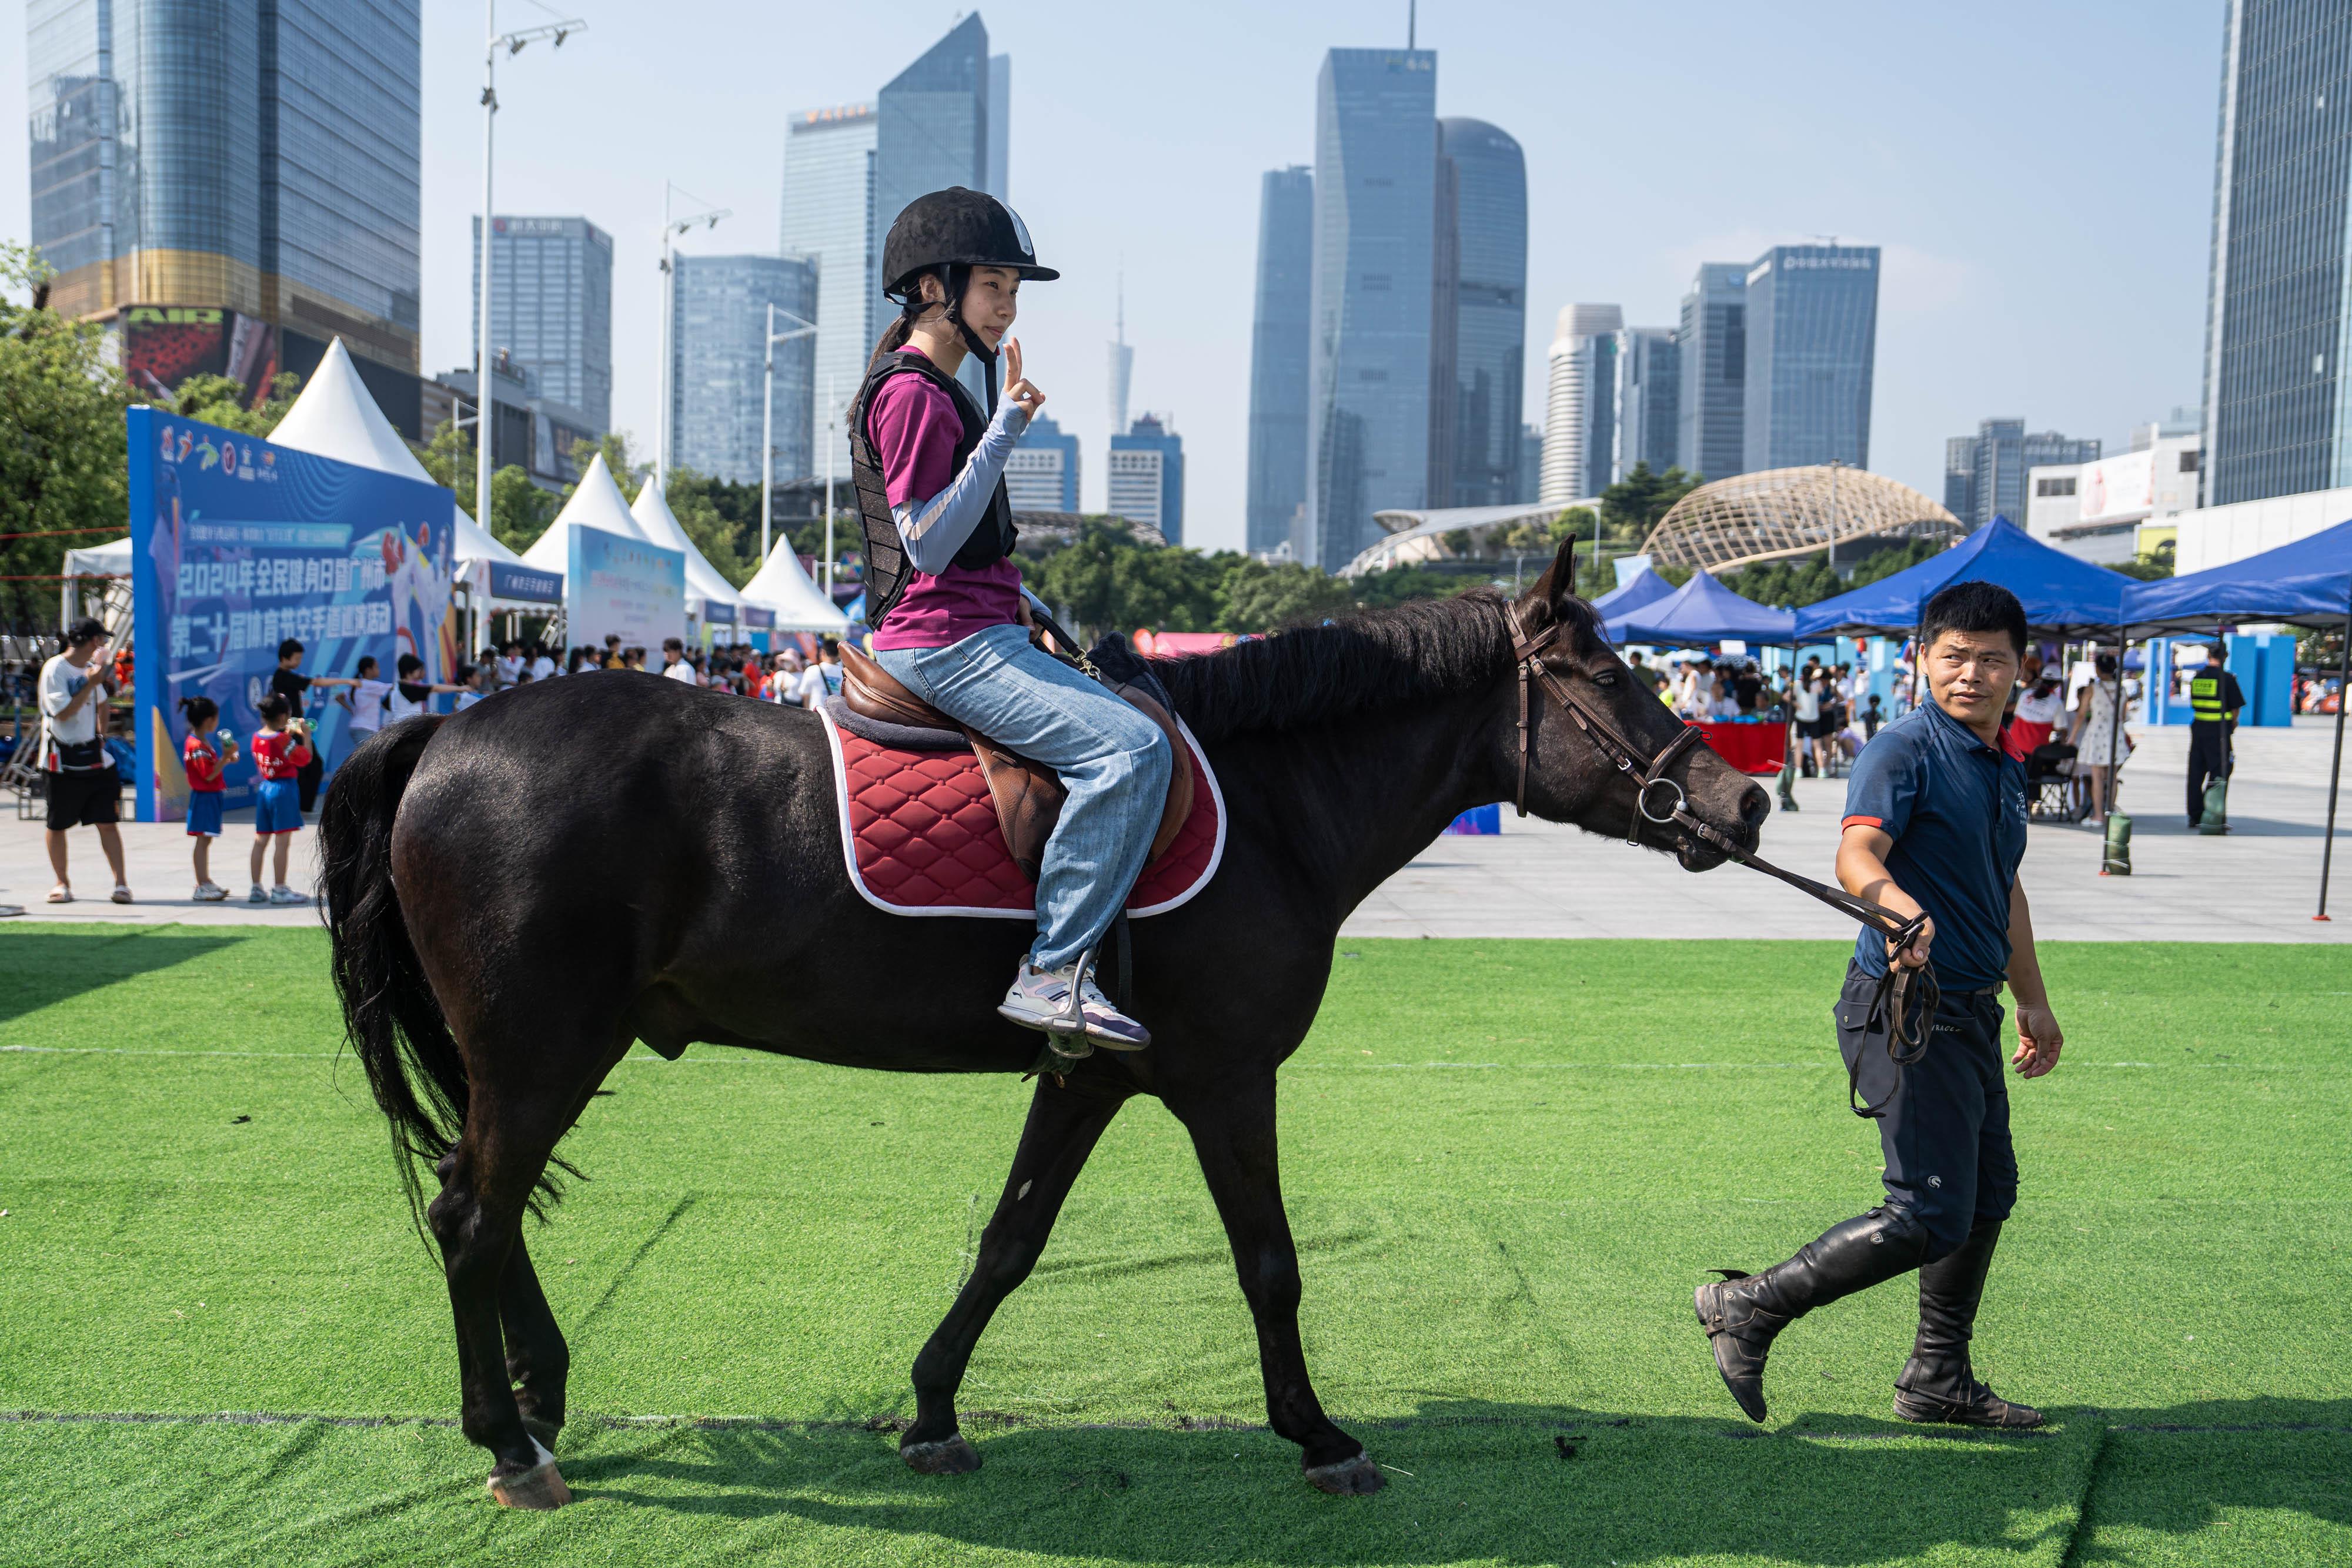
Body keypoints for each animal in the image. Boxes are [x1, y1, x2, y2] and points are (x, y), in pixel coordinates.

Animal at [327, 540, 1769, 1505]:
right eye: (1603, 674)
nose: (1742, 801)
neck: (1271, 803)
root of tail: (443, 732)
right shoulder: (1227, 1076)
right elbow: (1270, 1262)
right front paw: (1318, 1433)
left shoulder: (1090, 1078)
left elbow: (1010, 1241)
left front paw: (930, 1409)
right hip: (540, 1045)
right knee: (469, 1211)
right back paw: (508, 1439)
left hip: (542, 1049)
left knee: (483, 1199)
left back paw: (541, 1392)